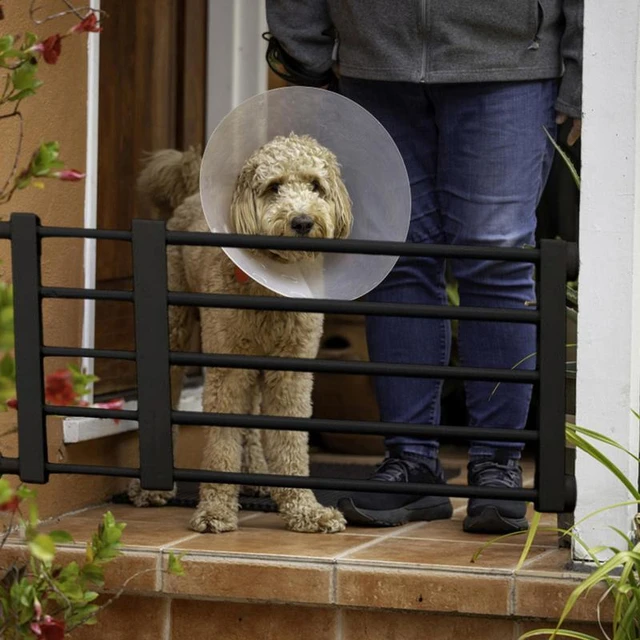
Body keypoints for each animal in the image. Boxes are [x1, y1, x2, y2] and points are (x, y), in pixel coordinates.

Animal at [128, 135, 352, 536]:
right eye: (274, 187)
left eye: (316, 185)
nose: (302, 221)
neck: (269, 287)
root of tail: (190, 194)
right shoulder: (226, 371)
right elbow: (221, 442)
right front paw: (215, 510)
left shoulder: (290, 371)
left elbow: (290, 440)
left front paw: (305, 510)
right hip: (175, 329)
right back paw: (153, 489)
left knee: (251, 422)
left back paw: (258, 476)